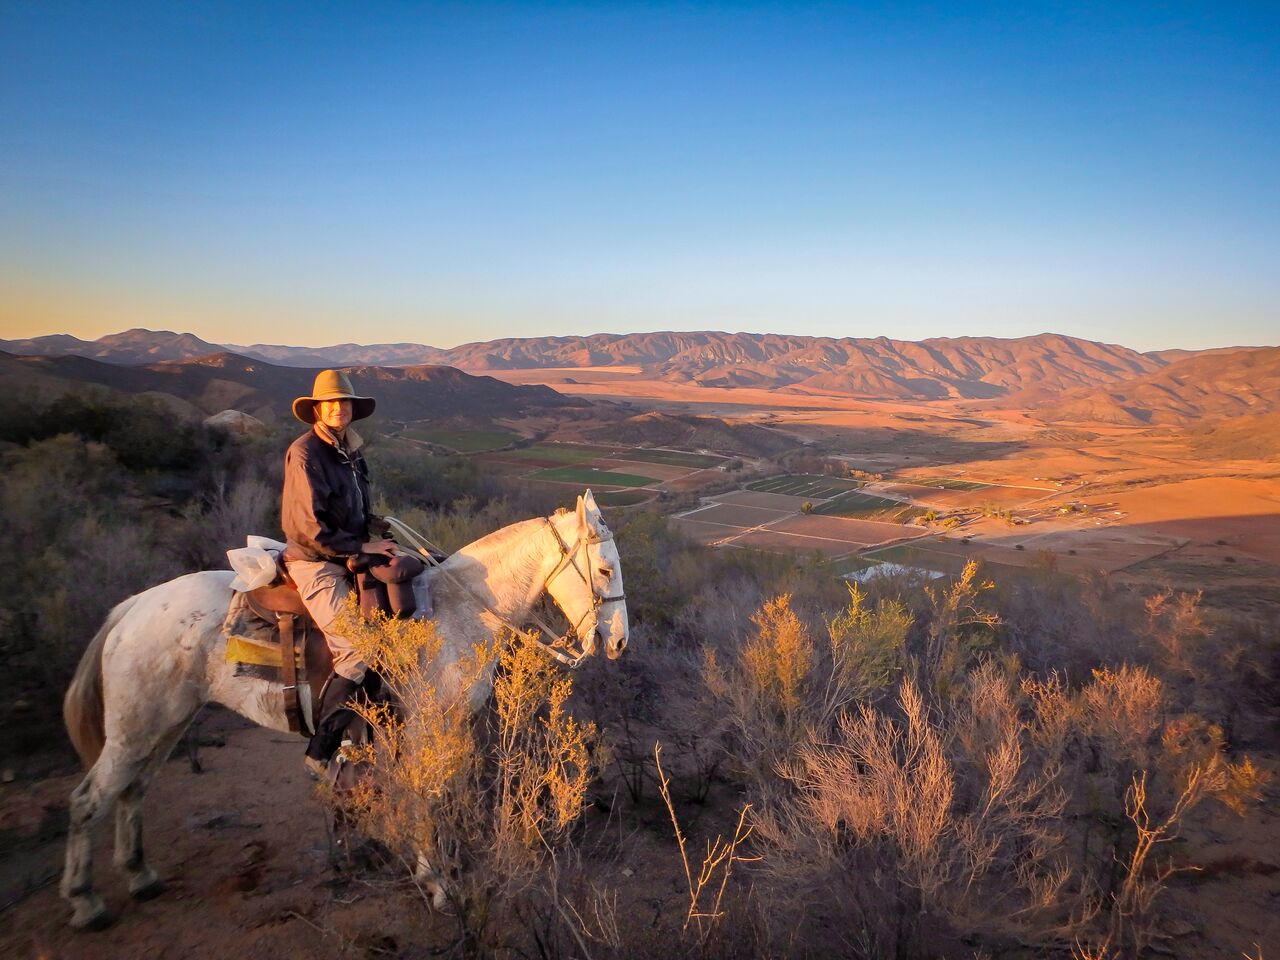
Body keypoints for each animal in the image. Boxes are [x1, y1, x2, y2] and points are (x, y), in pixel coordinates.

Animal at [60, 491, 629, 926]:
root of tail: (132, 607)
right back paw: (85, 902)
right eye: (604, 568)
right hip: (136, 728)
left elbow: (443, 796)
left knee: (133, 790)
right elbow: (426, 800)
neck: (459, 612)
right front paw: (437, 884)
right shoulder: (425, 729)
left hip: (166, 724)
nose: (620, 642)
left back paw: (139, 875)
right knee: (89, 799)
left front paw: (443, 870)